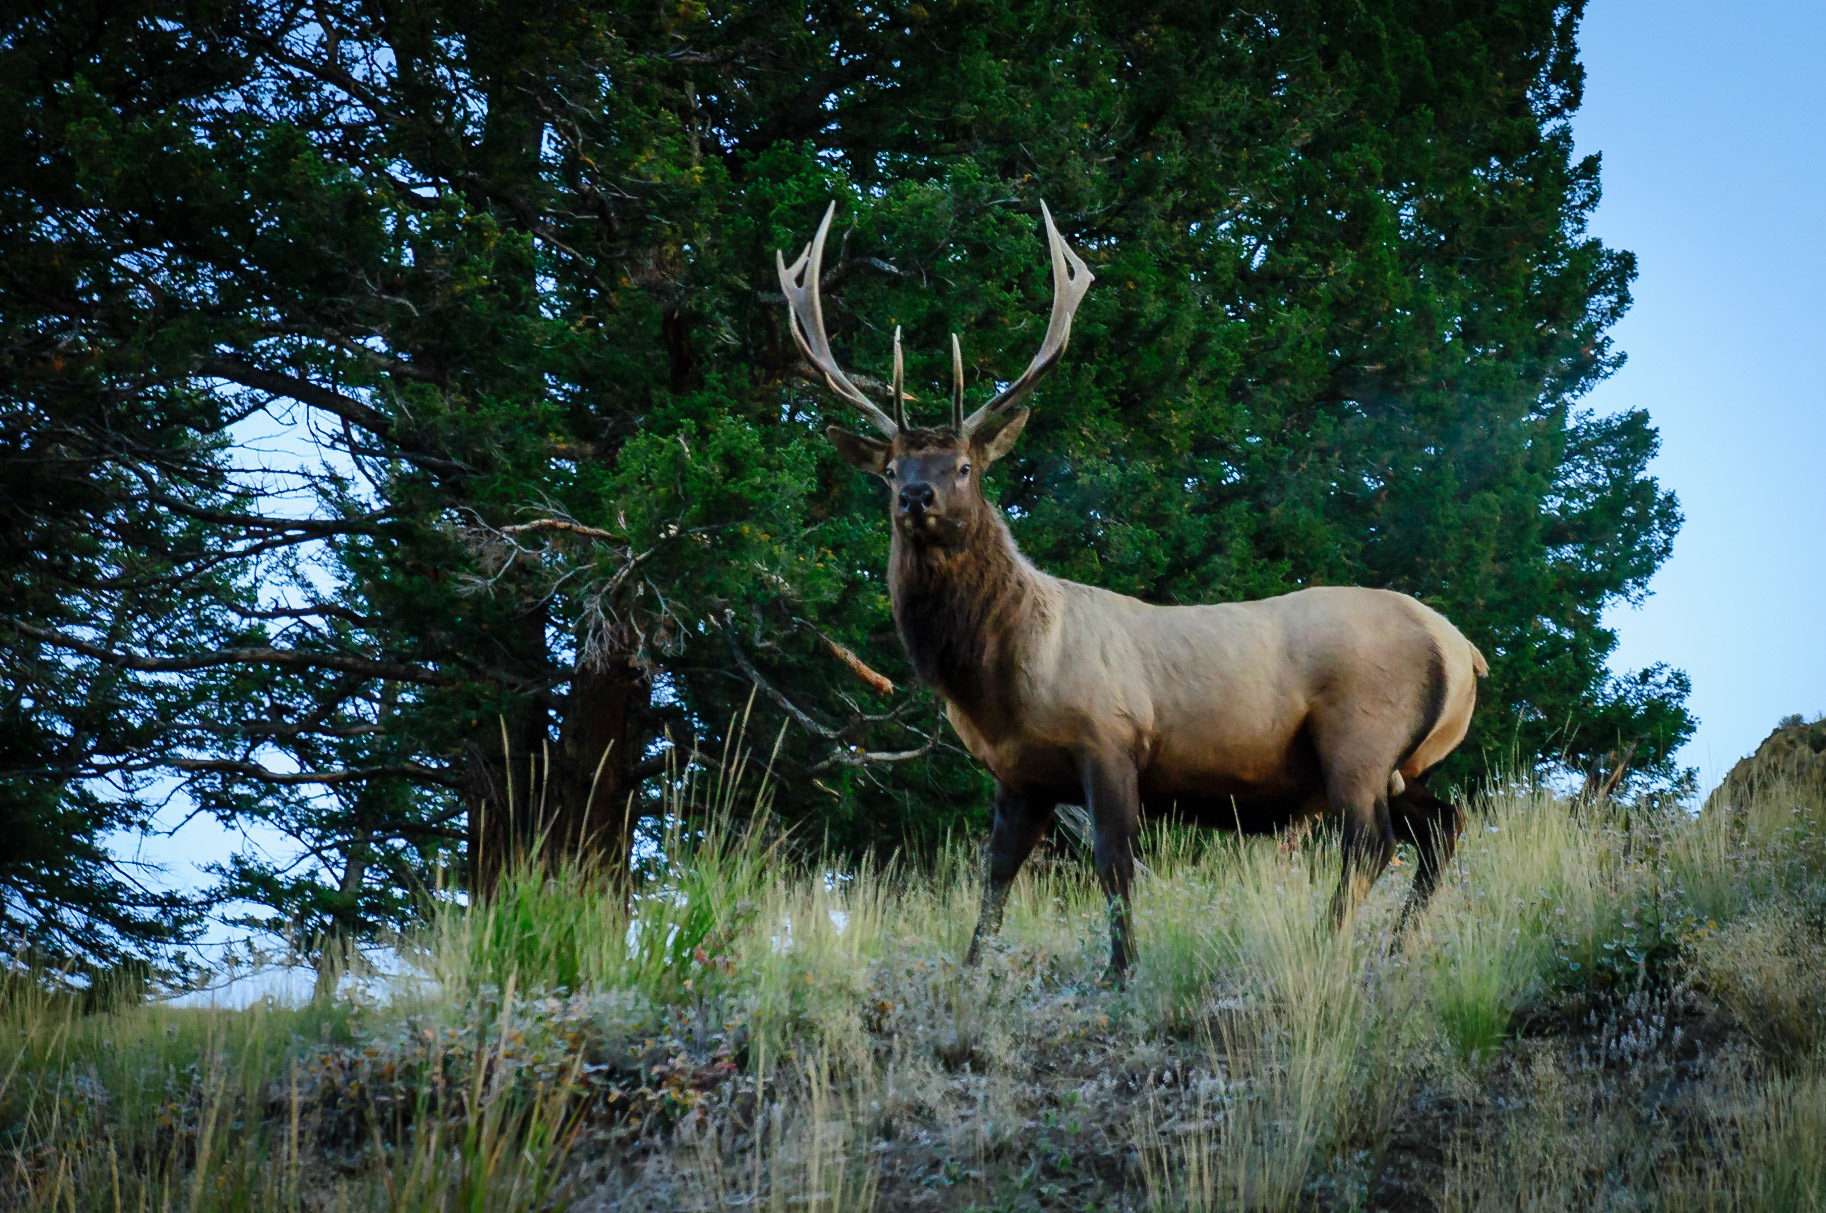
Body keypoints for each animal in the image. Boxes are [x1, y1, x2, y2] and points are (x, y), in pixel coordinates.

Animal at [776, 202, 1488, 980]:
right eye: (890, 468)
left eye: (964, 466)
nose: (915, 497)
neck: (1004, 676)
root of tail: (1464, 651)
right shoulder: (1020, 775)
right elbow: (995, 878)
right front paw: (971, 972)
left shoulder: (1109, 736)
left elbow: (1114, 864)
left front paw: (1120, 971)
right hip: (1408, 761)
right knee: (1444, 824)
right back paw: (1394, 945)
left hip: (1359, 735)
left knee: (1371, 843)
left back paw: (1323, 946)